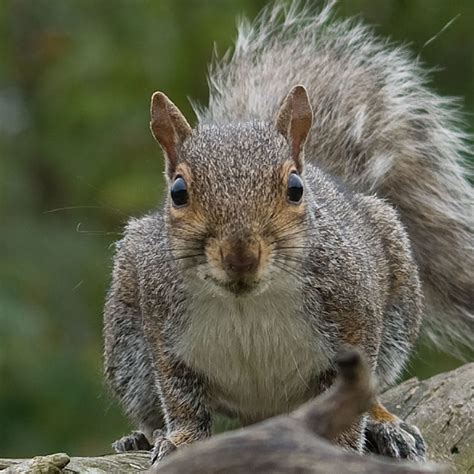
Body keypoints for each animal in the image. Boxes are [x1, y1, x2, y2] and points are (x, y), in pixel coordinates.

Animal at [102, 0, 472, 466]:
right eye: (178, 192)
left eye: (295, 188)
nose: (241, 255)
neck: (247, 301)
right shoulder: (162, 329)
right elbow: (181, 399)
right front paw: (180, 441)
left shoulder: (355, 319)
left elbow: (350, 402)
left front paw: (341, 446)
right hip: (127, 343)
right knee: (149, 403)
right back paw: (140, 436)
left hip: (398, 301)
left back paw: (387, 425)